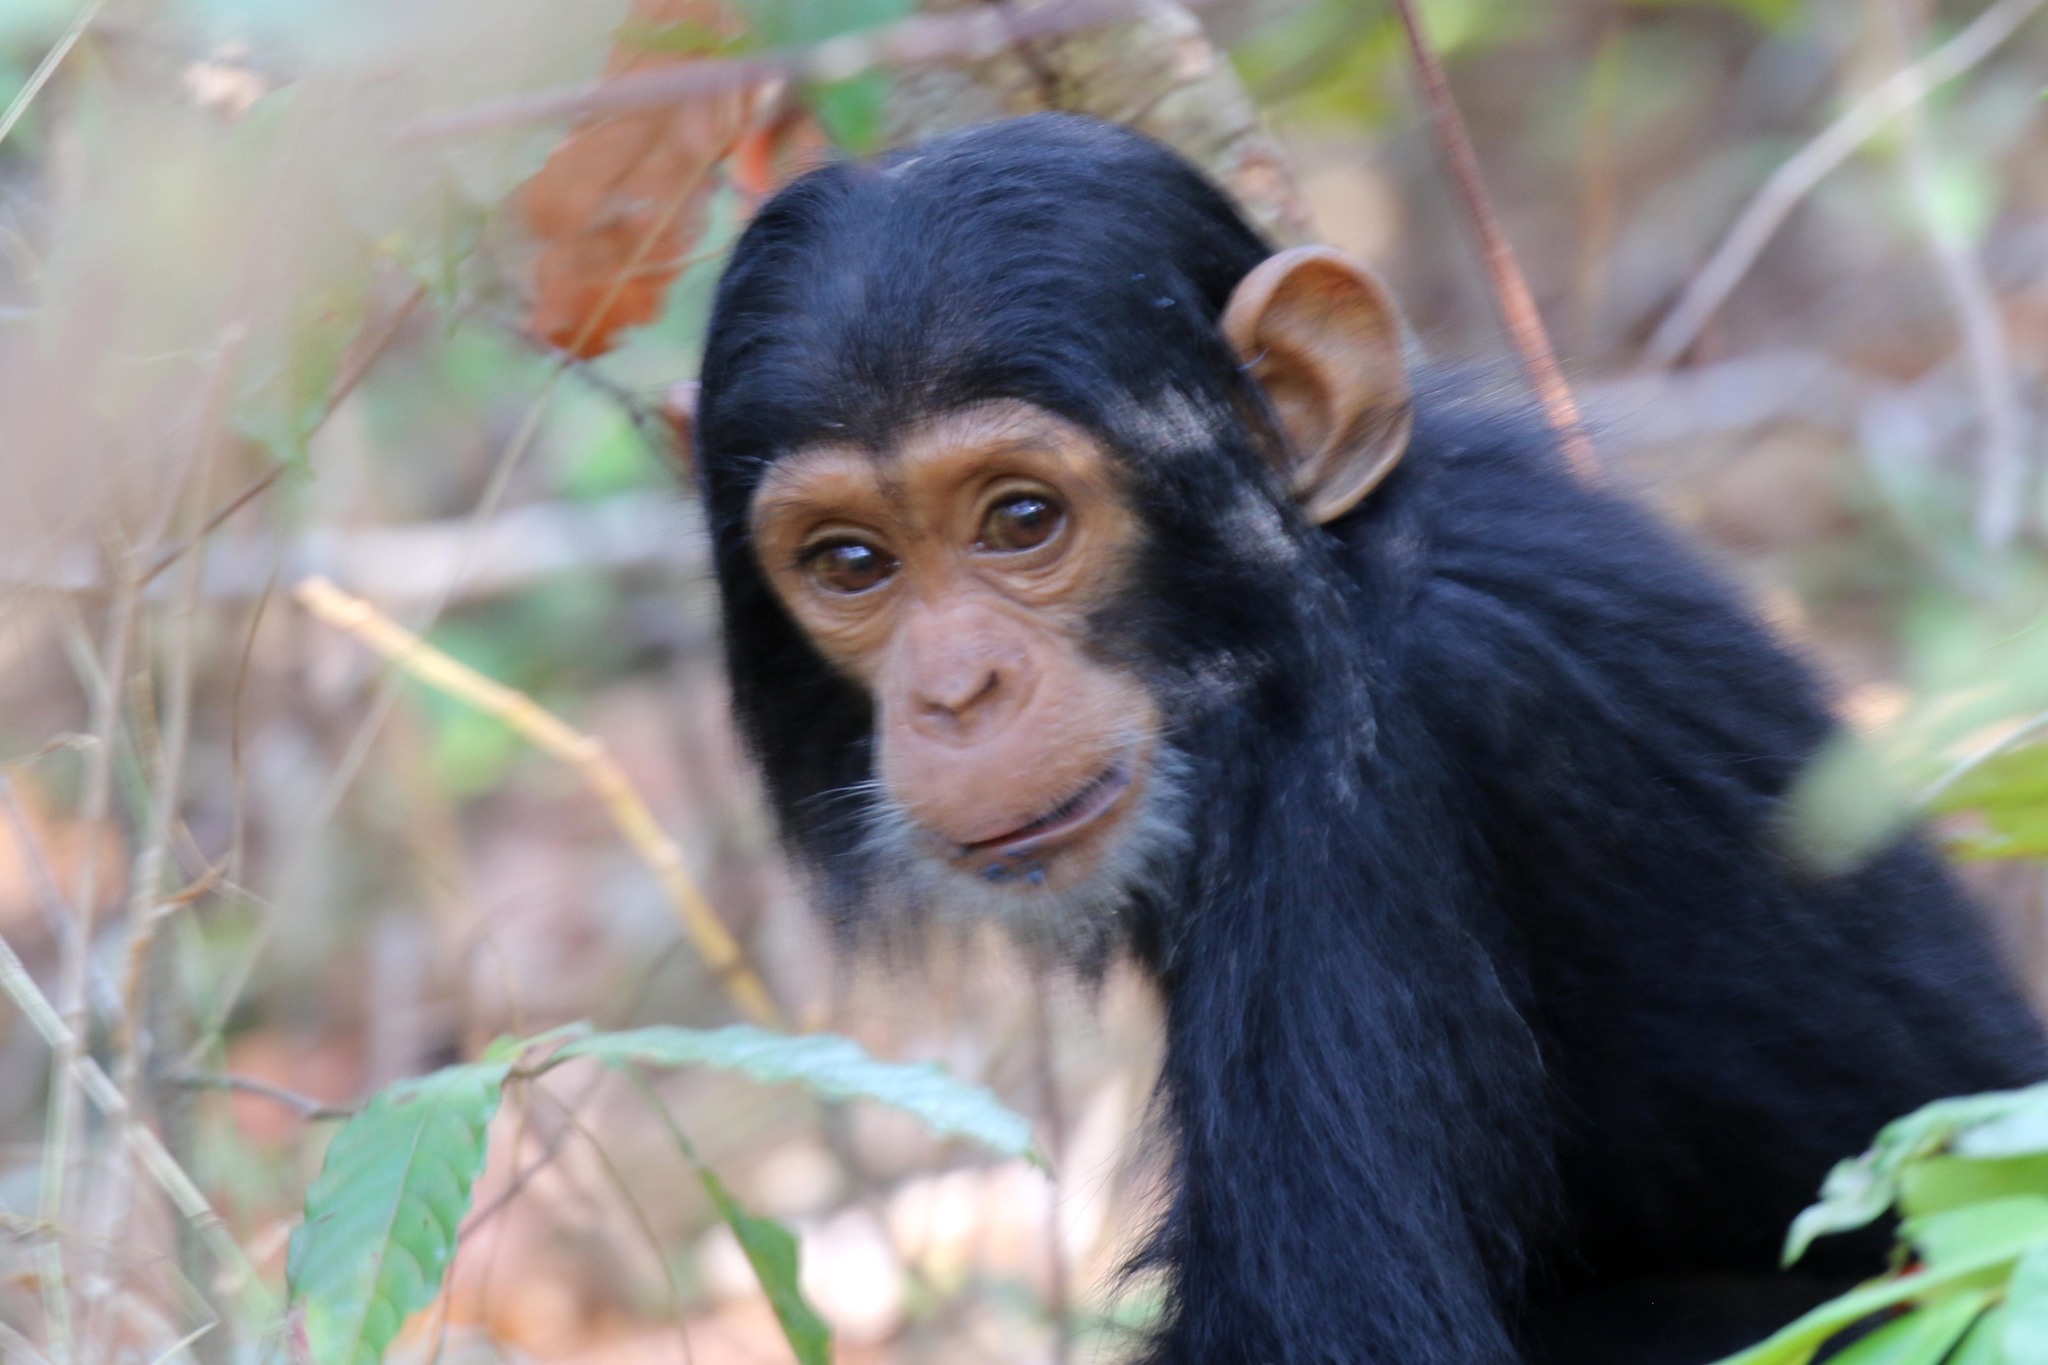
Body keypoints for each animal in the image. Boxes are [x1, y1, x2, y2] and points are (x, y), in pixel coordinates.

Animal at [692, 112, 2048, 1358]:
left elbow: (1342, 1327)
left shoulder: (1355, 794)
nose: (955, 692)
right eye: (851, 563)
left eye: (1021, 519)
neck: (1306, 591)